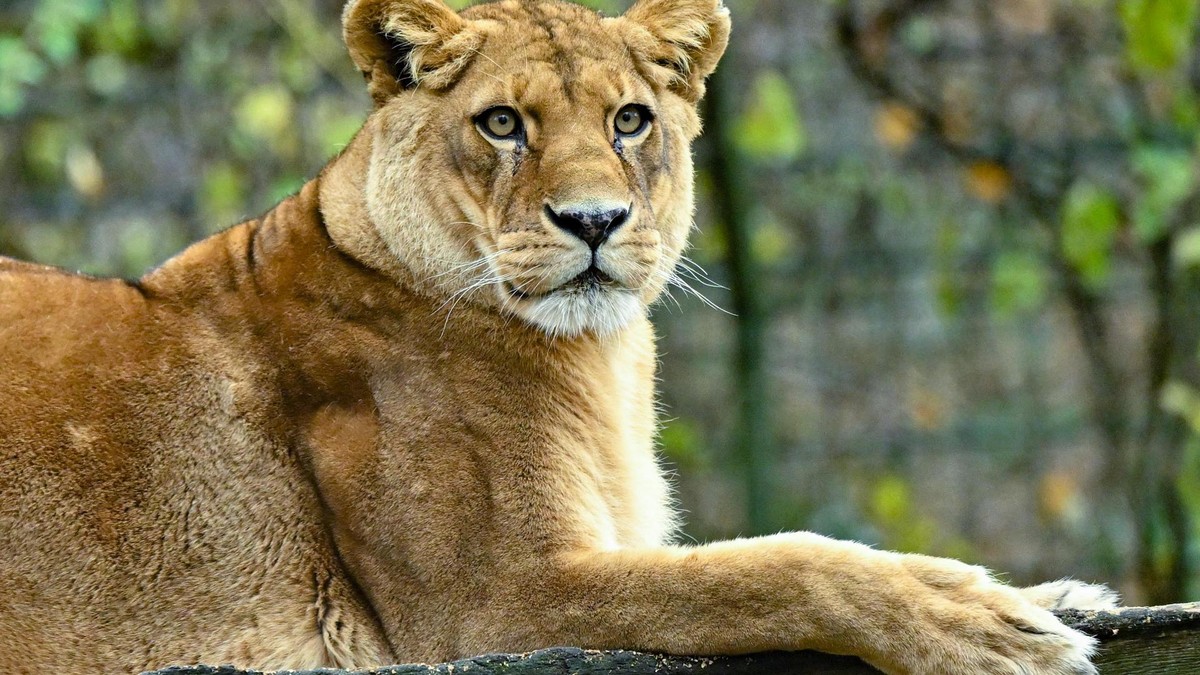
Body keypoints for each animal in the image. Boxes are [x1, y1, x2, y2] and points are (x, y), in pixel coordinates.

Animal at [0, 1, 1117, 673]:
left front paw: (1051, 595)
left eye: (630, 121)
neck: (600, 358)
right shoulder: (491, 602)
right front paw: (976, 620)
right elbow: (769, 568)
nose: (593, 221)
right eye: (502, 124)